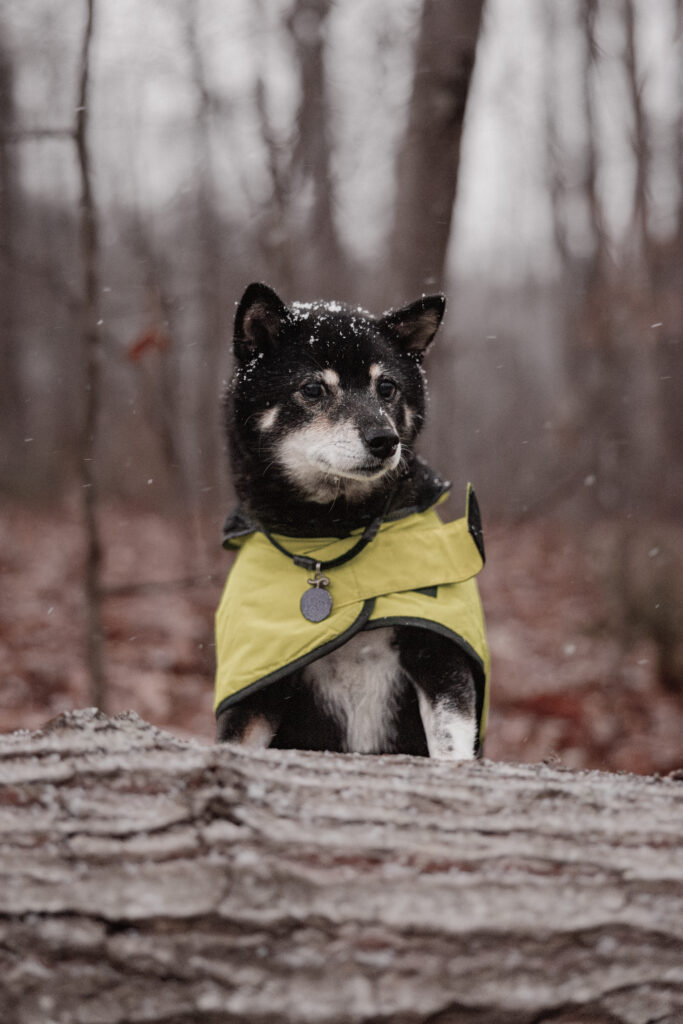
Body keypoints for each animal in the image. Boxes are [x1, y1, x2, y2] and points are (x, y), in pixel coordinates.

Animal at [214, 284, 485, 757]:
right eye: (312, 388)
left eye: (387, 386)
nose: (385, 440)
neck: (332, 530)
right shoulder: (258, 687)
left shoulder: (438, 657)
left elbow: (450, 747)